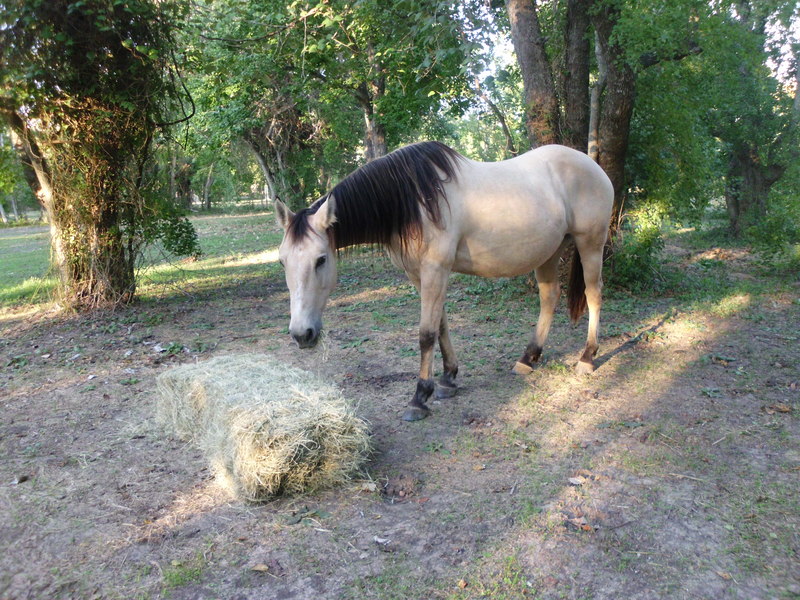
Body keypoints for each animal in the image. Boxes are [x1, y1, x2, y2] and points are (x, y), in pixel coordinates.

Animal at [276, 141, 612, 422]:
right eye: (282, 260)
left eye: (321, 259)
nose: (302, 335)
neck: (413, 201)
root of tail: (592, 165)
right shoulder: (418, 274)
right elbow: (440, 326)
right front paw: (448, 378)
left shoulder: (435, 270)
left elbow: (426, 333)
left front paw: (419, 397)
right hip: (549, 253)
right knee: (550, 296)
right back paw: (529, 358)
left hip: (590, 244)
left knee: (593, 294)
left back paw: (587, 357)